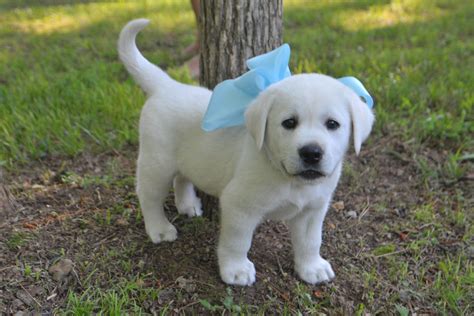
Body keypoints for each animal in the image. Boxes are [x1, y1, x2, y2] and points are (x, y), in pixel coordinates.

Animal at [117, 19, 374, 286]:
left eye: (332, 124)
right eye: (289, 123)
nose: (311, 153)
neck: (290, 180)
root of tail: (167, 86)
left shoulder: (313, 210)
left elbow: (311, 241)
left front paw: (311, 267)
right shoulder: (239, 206)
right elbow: (237, 242)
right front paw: (236, 270)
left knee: (183, 178)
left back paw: (187, 205)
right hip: (157, 163)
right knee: (149, 196)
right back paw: (159, 228)